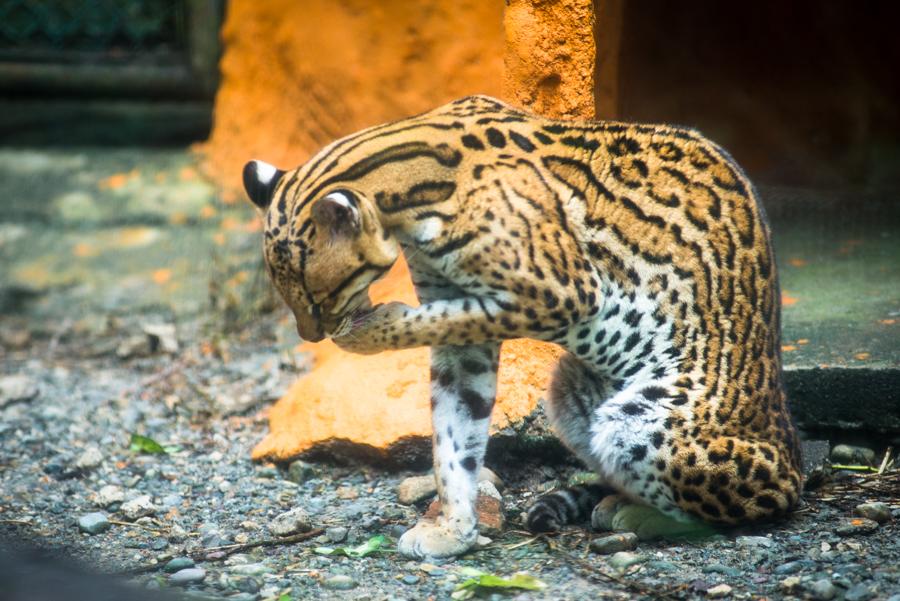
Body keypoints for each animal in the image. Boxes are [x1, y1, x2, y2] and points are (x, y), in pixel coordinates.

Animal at [241, 94, 800, 556]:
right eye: (287, 294)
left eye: (318, 296)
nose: (311, 336)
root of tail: (793, 452)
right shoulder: (465, 331)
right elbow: (455, 433)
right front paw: (456, 528)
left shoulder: (560, 292)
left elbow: (422, 326)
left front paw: (367, 330)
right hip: (568, 389)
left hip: (645, 421)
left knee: (751, 505)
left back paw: (641, 515)